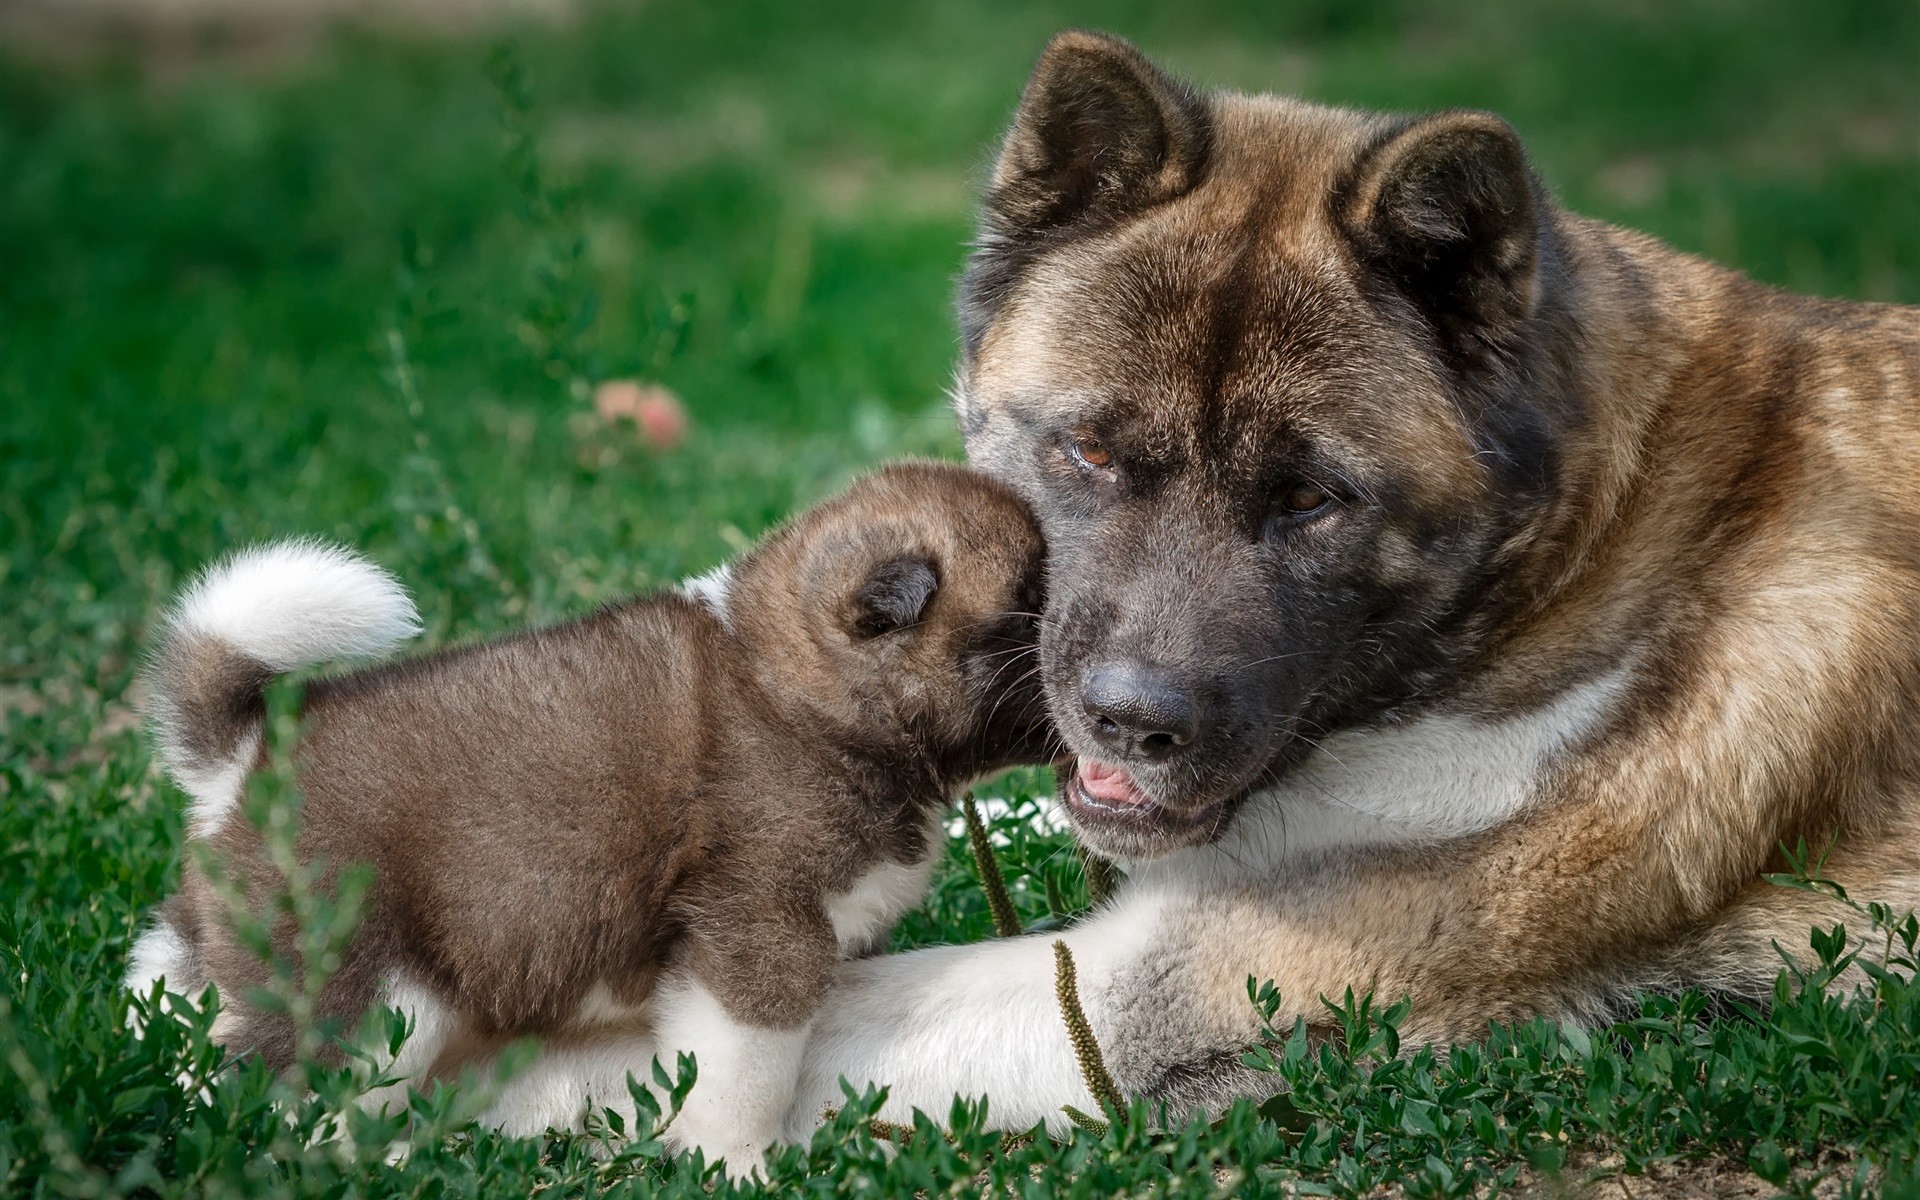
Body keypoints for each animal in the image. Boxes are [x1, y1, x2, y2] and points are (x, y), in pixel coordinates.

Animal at [123, 458, 1052, 1167]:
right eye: (1030, 597)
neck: (804, 689)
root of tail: (243, 761)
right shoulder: (758, 935)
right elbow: (746, 1074)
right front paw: (741, 1162)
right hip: (364, 994)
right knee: (304, 1095)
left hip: (223, 955)